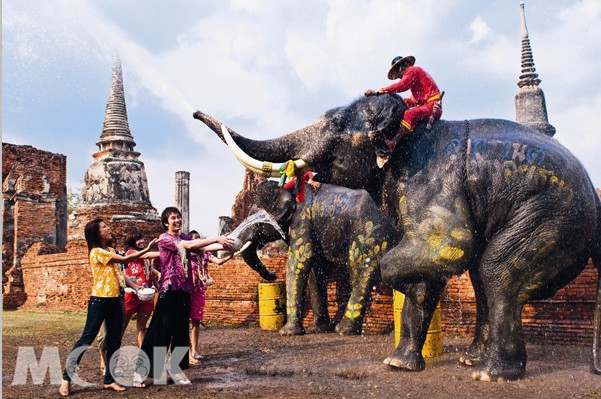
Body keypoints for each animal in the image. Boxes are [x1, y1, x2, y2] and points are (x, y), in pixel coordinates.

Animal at [227, 180, 396, 338]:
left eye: (257, 219)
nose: (273, 275)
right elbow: (315, 270)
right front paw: (317, 329)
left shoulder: (302, 221)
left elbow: (298, 261)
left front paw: (287, 333)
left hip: (369, 234)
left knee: (360, 269)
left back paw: (343, 331)